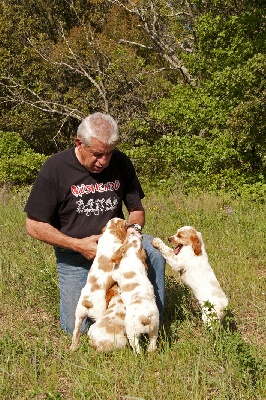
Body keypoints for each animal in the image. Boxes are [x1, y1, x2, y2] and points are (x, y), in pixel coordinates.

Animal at [69, 217, 128, 352]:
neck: (110, 233)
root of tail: (87, 301)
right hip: (100, 314)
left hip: (78, 316)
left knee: (76, 333)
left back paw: (73, 347)